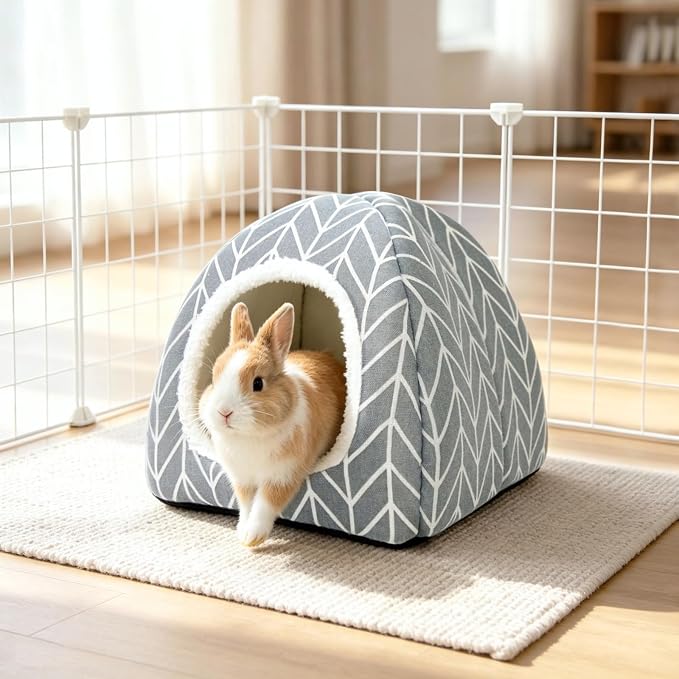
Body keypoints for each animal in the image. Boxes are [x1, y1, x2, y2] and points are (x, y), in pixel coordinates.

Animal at [199, 301, 346, 547]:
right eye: (213, 379)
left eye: (258, 383)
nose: (223, 412)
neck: (249, 436)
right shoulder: (243, 479)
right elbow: (247, 504)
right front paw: (242, 530)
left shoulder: (282, 476)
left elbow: (265, 504)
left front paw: (252, 538)